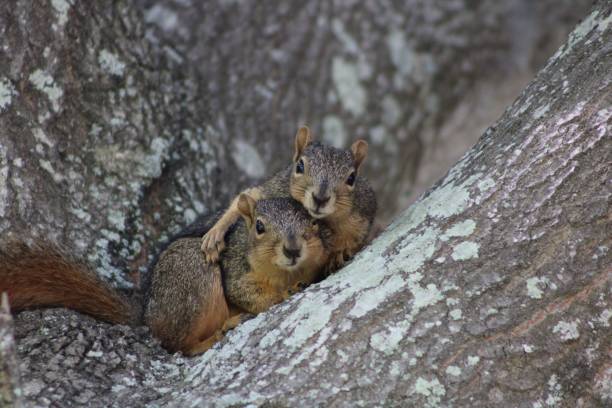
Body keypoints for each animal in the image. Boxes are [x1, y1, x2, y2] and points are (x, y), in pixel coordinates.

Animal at [1, 194, 330, 354]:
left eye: (313, 223)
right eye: (260, 227)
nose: (292, 249)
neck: (285, 271)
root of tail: (147, 313)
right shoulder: (235, 267)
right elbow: (245, 292)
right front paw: (286, 292)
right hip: (193, 273)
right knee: (175, 345)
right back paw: (217, 334)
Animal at [201, 126, 376, 274]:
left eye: (351, 178)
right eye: (300, 166)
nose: (320, 198)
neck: (326, 220)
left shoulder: (361, 217)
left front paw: (339, 254)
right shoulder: (275, 188)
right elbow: (248, 197)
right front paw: (215, 235)